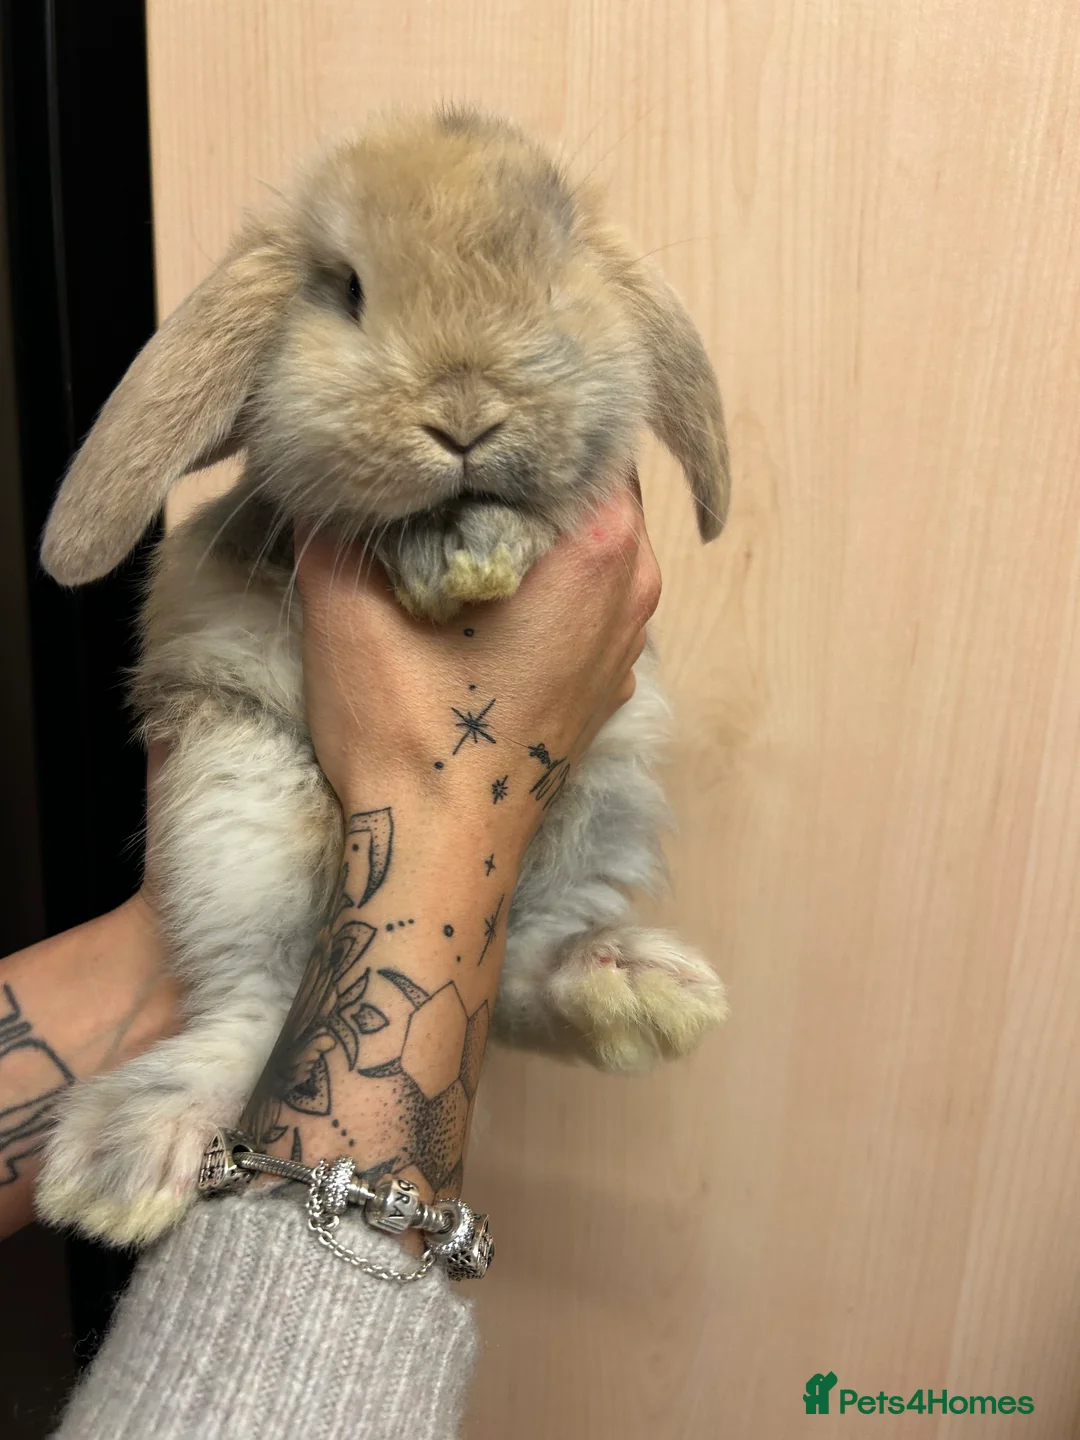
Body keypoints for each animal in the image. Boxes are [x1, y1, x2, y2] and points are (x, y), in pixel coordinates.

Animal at [35, 107, 731, 1247]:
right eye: (347, 289)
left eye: (552, 285)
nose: (464, 413)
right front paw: (452, 562)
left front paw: (480, 549)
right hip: (239, 808)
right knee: (254, 1006)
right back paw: (127, 1163)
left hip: (601, 801)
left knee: (522, 966)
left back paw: (634, 991)